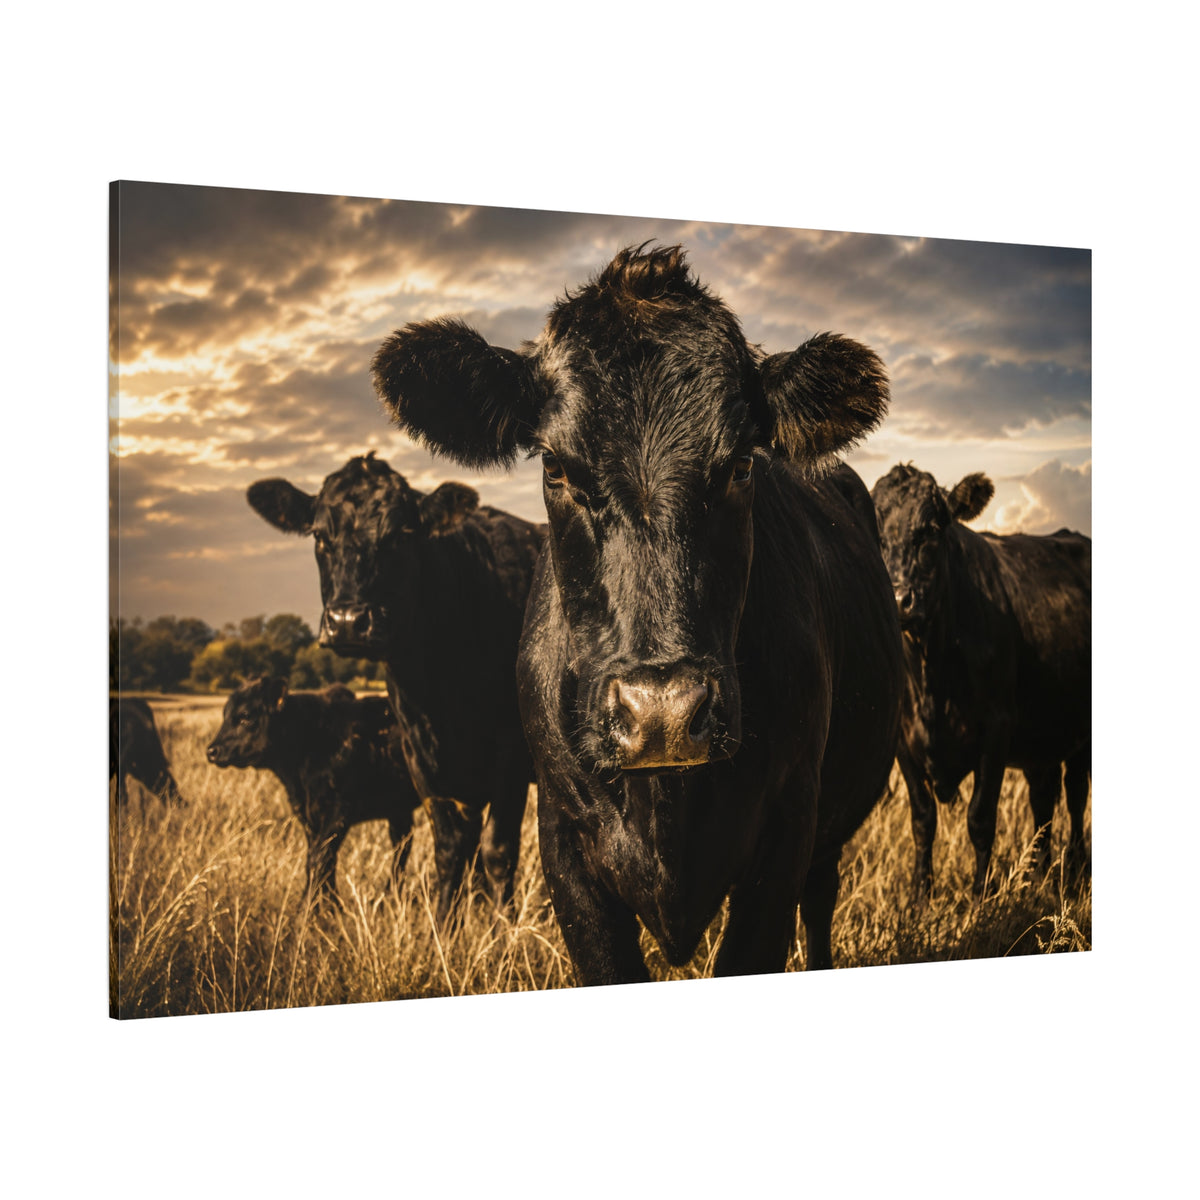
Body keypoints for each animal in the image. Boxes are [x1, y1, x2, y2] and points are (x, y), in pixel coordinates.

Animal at [206, 677, 421, 905]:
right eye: (226, 715)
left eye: (245, 716)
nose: (212, 750)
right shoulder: (307, 814)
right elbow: (317, 858)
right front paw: (327, 905)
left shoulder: (339, 812)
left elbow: (320, 859)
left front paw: (311, 908)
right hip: (398, 808)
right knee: (401, 846)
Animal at [246, 454, 543, 925]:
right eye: (319, 536)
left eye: (401, 534)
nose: (348, 621)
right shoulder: (422, 758)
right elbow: (449, 849)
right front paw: (445, 925)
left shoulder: (510, 755)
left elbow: (498, 850)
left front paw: (503, 930)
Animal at [370, 243, 904, 985]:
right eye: (555, 466)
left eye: (742, 464)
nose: (663, 715)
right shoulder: (560, 837)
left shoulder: (788, 825)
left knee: (821, 902)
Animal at [870, 463, 1091, 900]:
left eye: (931, 530)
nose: (900, 599)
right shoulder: (904, 740)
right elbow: (923, 819)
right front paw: (920, 896)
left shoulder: (997, 728)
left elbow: (980, 817)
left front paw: (981, 897)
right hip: (1042, 734)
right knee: (1044, 800)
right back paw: (1037, 873)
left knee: (1075, 795)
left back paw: (1075, 866)